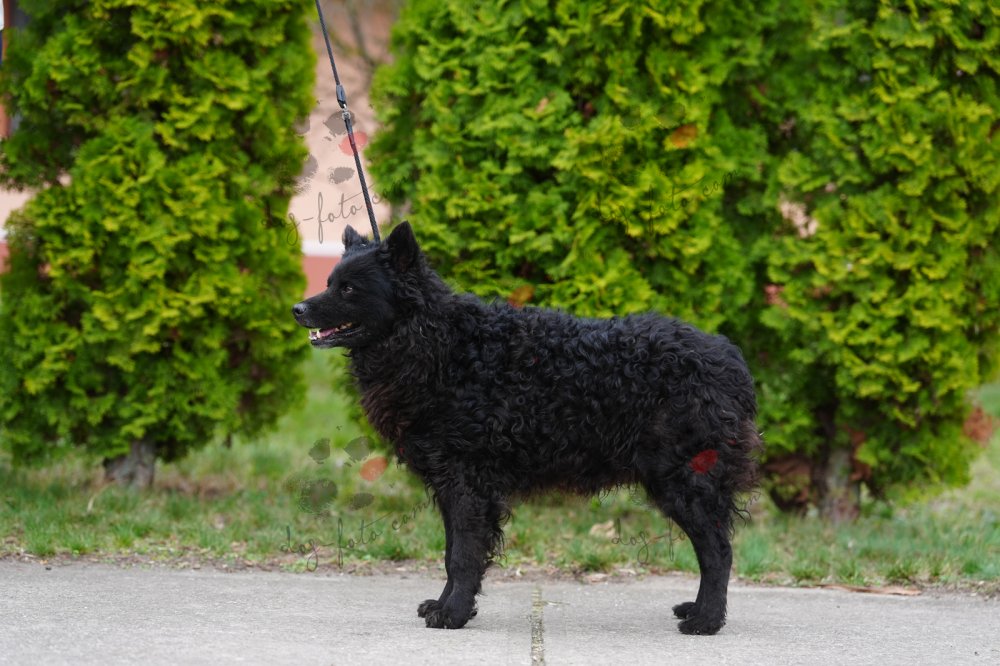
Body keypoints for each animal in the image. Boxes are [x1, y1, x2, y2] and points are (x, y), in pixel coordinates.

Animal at [292, 222, 761, 635]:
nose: (298, 309)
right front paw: (445, 605)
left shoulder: (467, 483)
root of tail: (728, 358)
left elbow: (463, 556)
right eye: (329, 281)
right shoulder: (450, 483)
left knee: (718, 552)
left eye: (348, 288)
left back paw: (706, 621)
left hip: (685, 480)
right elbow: (451, 553)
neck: (442, 345)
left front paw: (454, 614)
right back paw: (698, 610)